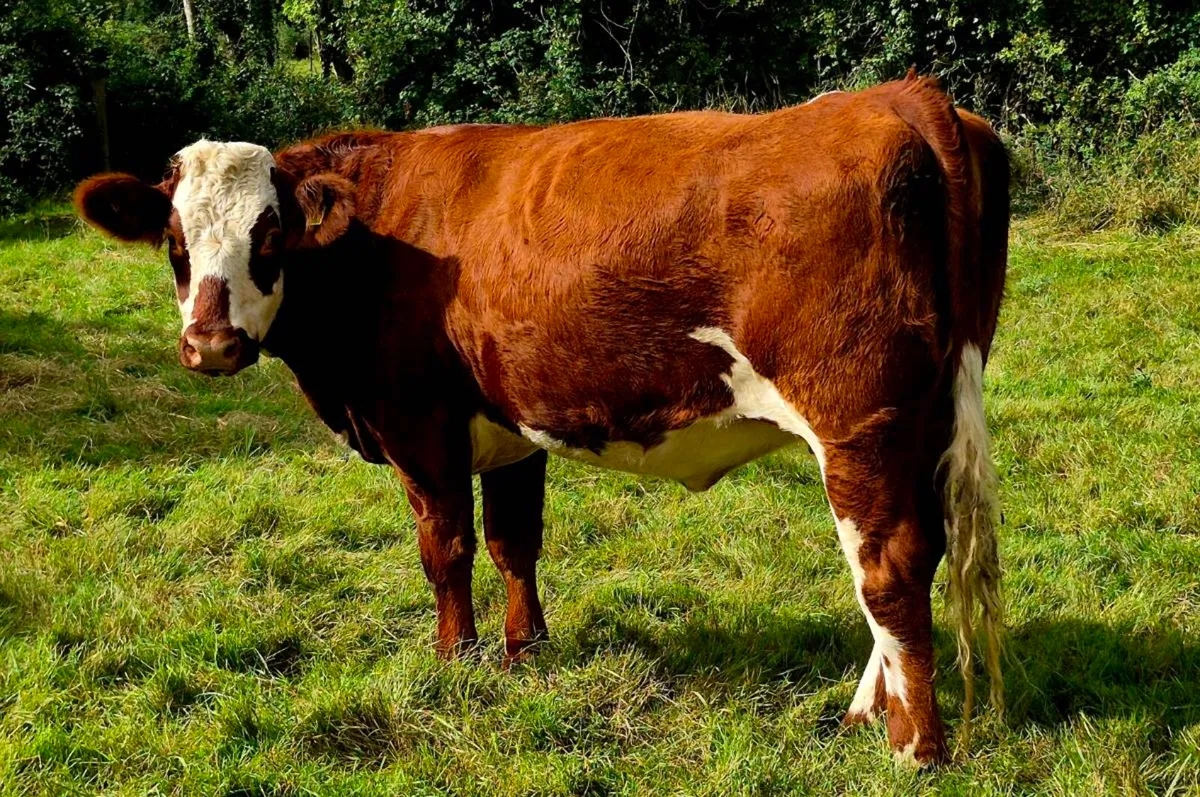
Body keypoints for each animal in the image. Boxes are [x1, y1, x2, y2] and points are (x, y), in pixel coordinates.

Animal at [74, 73, 1008, 764]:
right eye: (175, 244)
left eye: (269, 239)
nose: (211, 342)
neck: (377, 239)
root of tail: (901, 97)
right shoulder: (511, 425)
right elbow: (513, 542)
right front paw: (526, 650)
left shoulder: (418, 422)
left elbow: (445, 548)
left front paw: (455, 659)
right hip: (922, 420)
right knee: (914, 557)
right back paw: (864, 713)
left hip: (859, 423)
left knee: (888, 567)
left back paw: (914, 744)